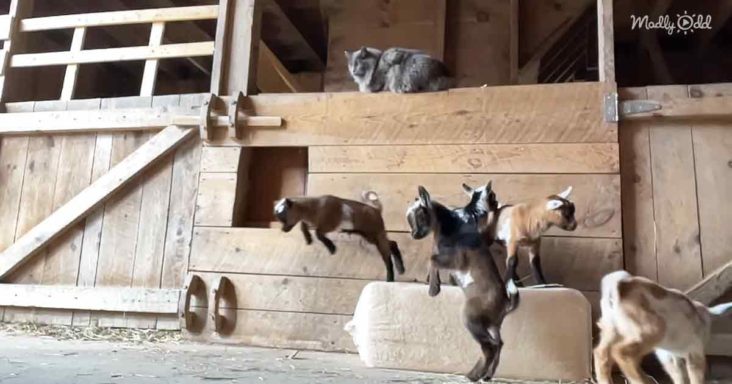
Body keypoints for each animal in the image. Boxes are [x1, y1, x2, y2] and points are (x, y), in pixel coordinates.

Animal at [274, 194, 404, 280]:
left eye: (284, 217)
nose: (283, 230)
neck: (314, 207)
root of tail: (377, 210)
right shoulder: (312, 222)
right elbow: (303, 226)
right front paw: (308, 239)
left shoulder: (329, 225)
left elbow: (318, 233)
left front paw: (332, 248)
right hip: (370, 236)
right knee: (392, 244)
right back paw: (401, 268)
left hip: (375, 233)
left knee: (386, 254)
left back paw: (390, 278)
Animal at [406, 186, 520, 380]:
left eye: (420, 215)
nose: (414, 235)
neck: (450, 226)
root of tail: (506, 303)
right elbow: (433, 259)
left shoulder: (456, 260)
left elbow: (432, 259)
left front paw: (434, 289)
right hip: (492, 324)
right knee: (498, 344)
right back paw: (486, 375)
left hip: (471, 317)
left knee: (489, 347)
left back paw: (473, 375)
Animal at [596, 270, 732, 384]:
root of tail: (618, 285)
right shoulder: (694, 351)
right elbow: (695, 376)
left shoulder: (668, 355)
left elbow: (678, 375)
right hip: (651, 330)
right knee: (621, 353)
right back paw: (640, 380)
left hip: (610, 329)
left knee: (601, 354)